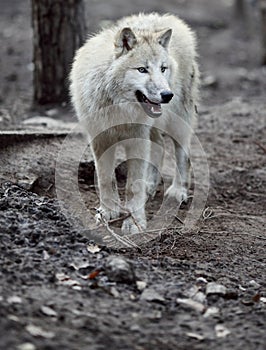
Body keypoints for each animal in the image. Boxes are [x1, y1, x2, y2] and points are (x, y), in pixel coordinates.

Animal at [69, 12, 198, 234]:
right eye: (142, 69)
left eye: (162, 69)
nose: (167, 95)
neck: (118, 106)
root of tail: (171, 19)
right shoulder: (100, 139)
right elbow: (105, 178)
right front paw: (108, 212)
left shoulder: (137, 138)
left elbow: (132, 186)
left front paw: (134, 222)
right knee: (160, 146)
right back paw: (150, 186)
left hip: (177, 123)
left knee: (183, 154)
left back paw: (177, 191)